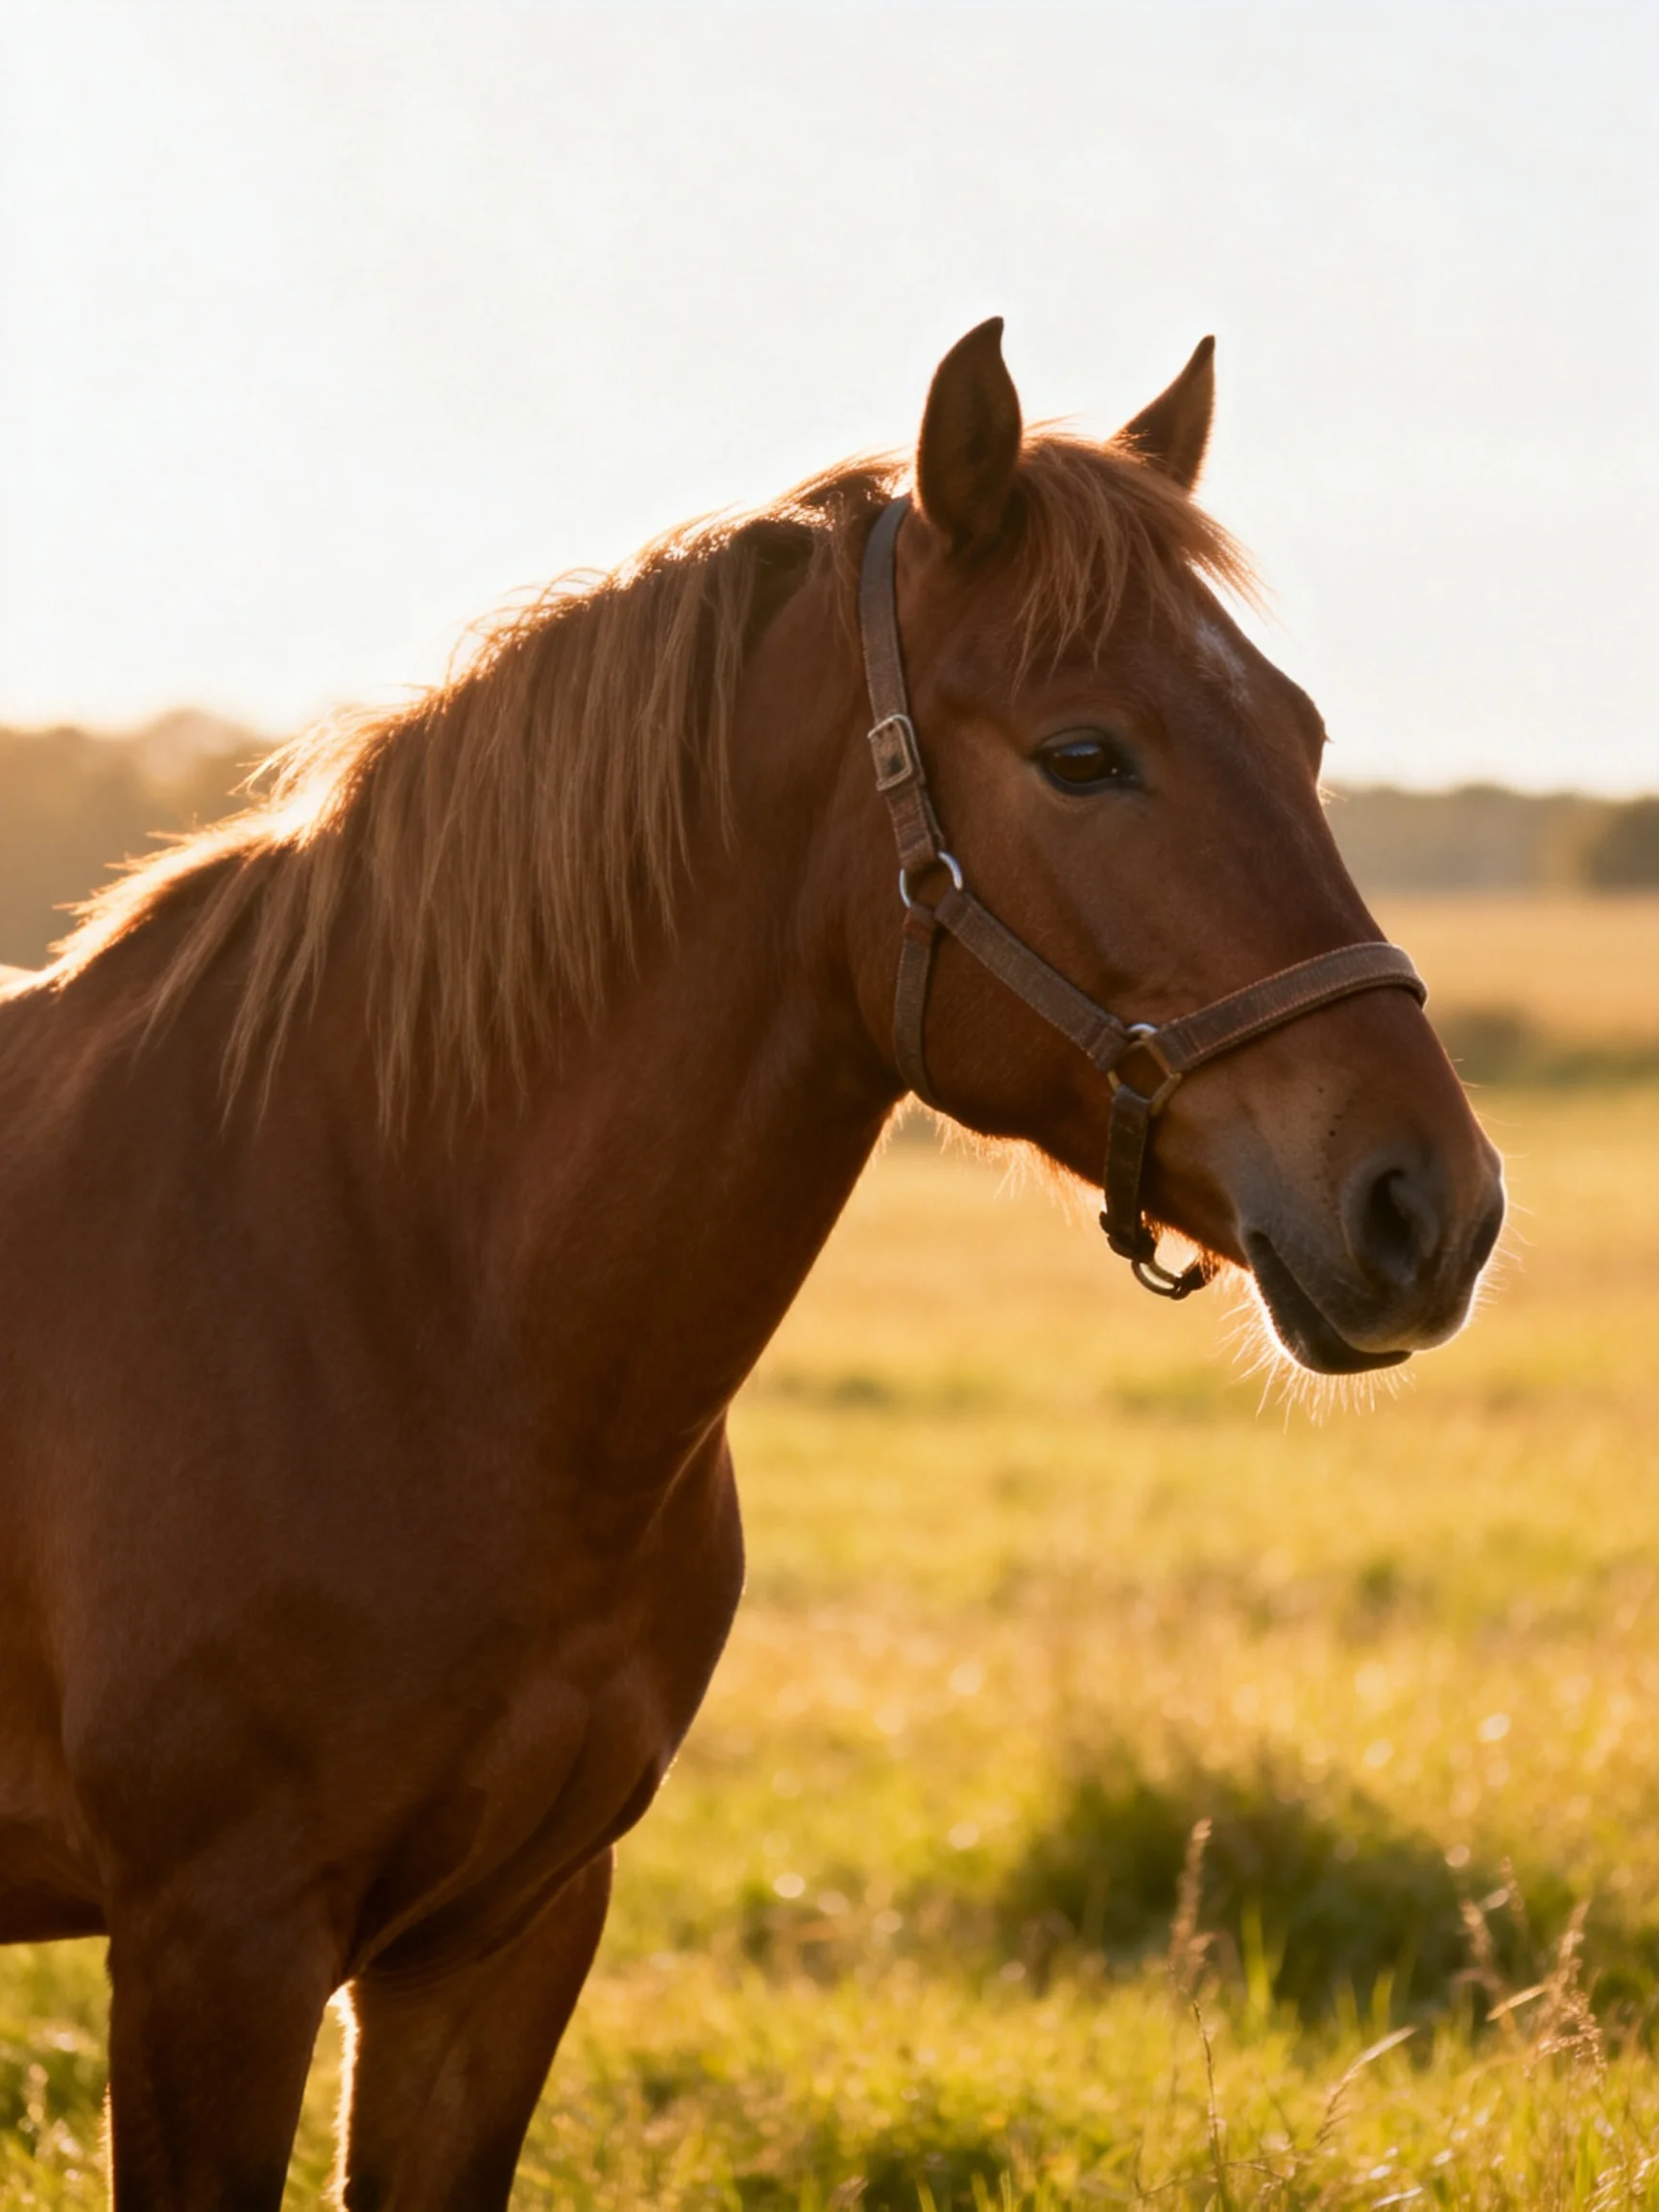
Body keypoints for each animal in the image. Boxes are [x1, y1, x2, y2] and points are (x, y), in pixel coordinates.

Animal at [0, 321, 1504, 2208]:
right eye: (1085, 754)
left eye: (1301, 734)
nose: (1429, 1205)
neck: (381, 1291)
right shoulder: (217, 1946)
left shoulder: (498, 1940)